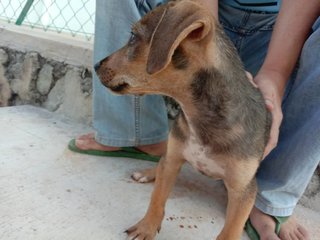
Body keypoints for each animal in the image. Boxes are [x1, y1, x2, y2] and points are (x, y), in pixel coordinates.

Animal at [94, 0, 270, 239]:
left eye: (132, 36)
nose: (96, 66)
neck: (200, 116)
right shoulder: (174, 158)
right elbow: (157, 198)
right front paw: (146, 227)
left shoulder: (244, 190)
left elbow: (230, 231)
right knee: (161, 162)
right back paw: (149, 173)